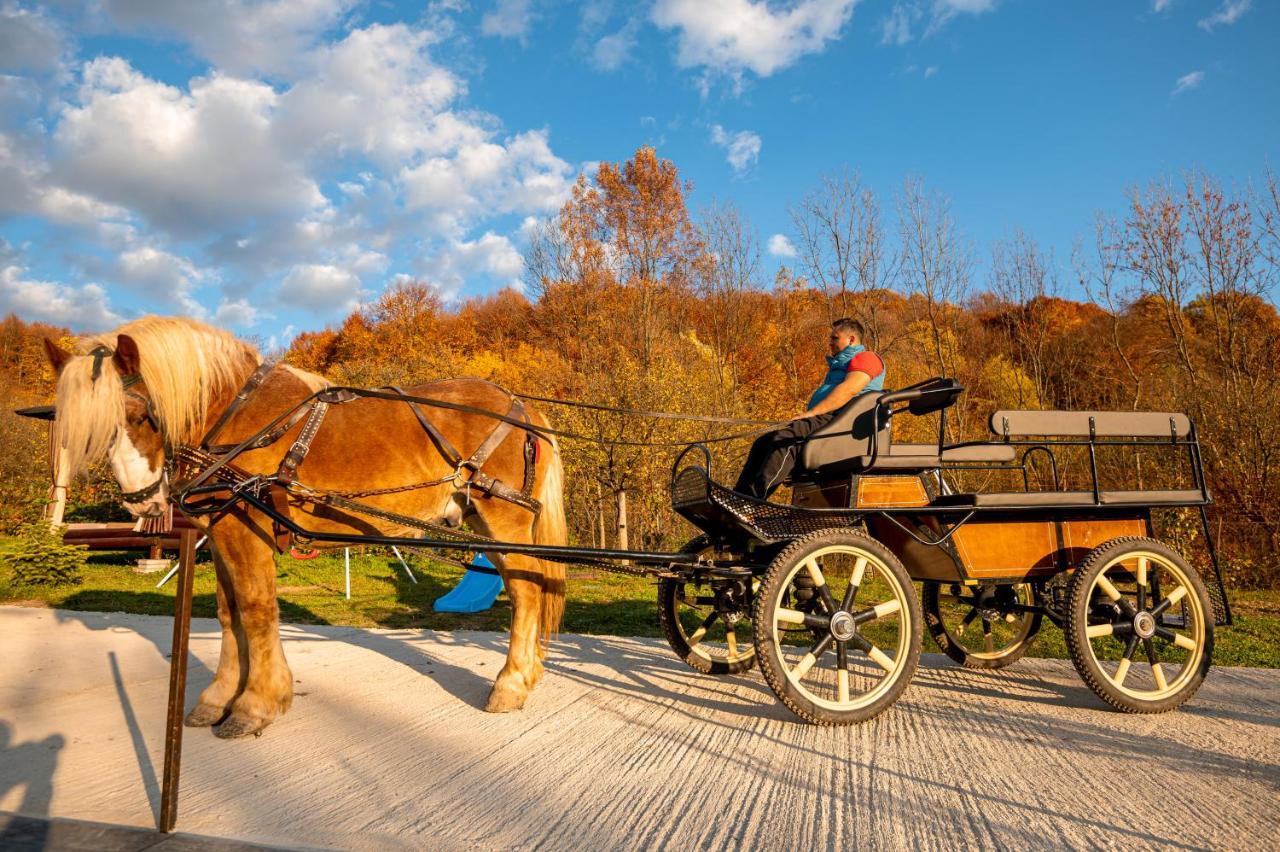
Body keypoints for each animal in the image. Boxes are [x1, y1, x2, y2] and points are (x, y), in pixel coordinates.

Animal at [43, 314, 565, 731]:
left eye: (141, 414)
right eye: (84, 428)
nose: (141, 501)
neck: (236, 413)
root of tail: (522, 405)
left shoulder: (245, 525)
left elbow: (255, 608)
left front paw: (256, 705)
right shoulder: (223, 529)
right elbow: (229, 613)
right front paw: (218, 699)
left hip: (504, 519)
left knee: (526, 592)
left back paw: (511, 684)